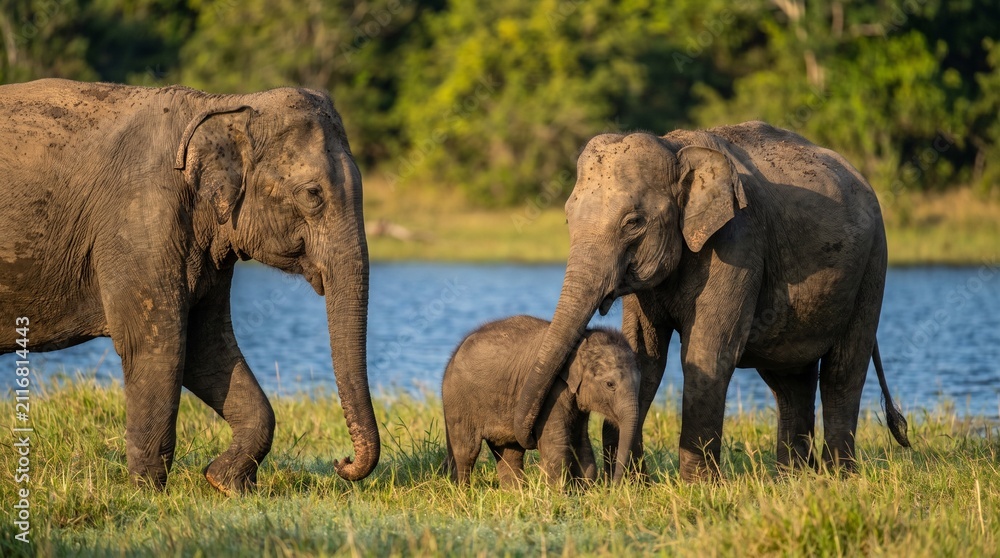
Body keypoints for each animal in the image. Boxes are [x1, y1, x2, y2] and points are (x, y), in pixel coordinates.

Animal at [0, 79, 378, 492]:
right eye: (313, 194)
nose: (342, 462)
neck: (224, 106)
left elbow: (206, 345)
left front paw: (224, 483)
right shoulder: (141, 221)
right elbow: (157, 344)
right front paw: (147, 493)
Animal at [442, 315, 640, 487]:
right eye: (610, 384)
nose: (613, 487)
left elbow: (580, 442)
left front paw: (584, 491)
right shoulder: (551, 394)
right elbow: (556, 445)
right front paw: (559, 495)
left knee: (510, 451)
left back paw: (515, 493)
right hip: (458, 399)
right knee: (466, 450)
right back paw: (463, 492)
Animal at [513, 121, 910, 482]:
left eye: (633, 222)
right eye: (568, 218)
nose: (526, 440)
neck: (674, 148)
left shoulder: (738, 241)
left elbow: (708, 352)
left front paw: (697, 486)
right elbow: (646, 355)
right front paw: (632, 483)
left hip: (873, 264)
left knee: (843, 371)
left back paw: (839, 477)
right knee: (789, 380)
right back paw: (793, 479)